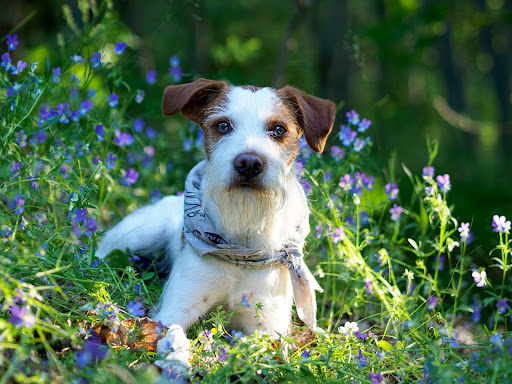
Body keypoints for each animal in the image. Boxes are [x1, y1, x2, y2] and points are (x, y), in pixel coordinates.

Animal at [95, 78, 336, 376]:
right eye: (222, 125)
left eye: (279, 129)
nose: (249, 163)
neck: (241, 243)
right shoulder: (176, 309)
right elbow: (173, 334)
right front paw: (176, 360)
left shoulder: (267, 325)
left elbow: (255, 347)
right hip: (138, 235)